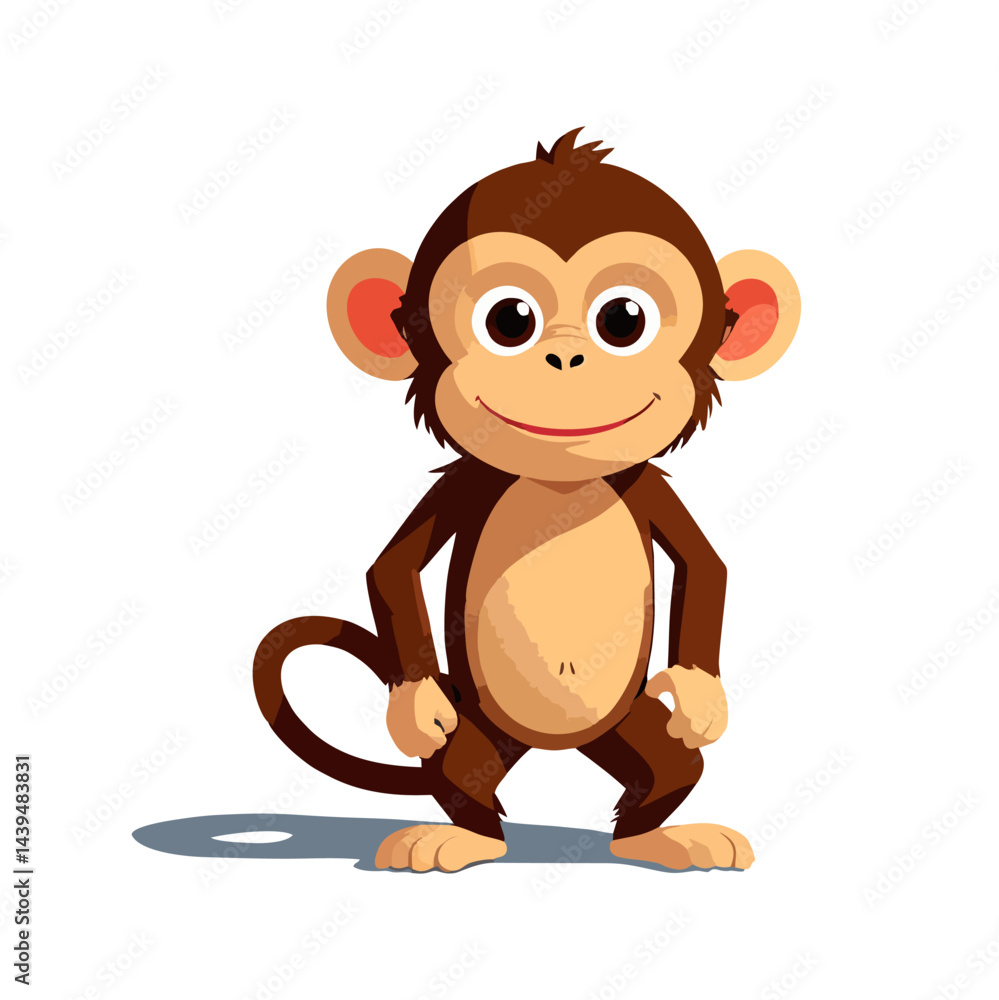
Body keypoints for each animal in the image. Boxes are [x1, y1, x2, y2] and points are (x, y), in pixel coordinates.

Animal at [253, 128, 800, 873]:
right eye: (509, 319)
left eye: (622, 319)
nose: (565, 360)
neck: (557, 484)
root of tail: (551, 746)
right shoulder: (464, 484)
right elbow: (392, 567)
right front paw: (414, 707)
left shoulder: (648, 487)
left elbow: (703, 567)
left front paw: (699, 697)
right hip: (477, 726)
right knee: (460, 768)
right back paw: (458, 836)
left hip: (629, 724)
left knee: (670, 768)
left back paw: (660, 836)